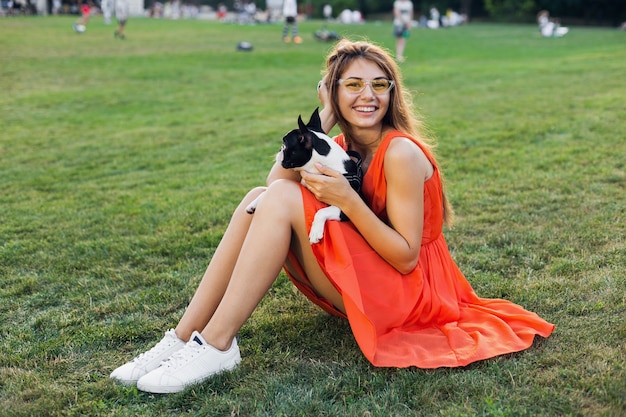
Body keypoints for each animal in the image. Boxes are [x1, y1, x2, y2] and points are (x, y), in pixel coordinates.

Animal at [244, 108, 360, 244]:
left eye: (285, 145)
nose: (279, 149)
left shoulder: (345, 209)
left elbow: (321, 211)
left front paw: (315, 232)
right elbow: (267, 191)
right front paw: (254, 203)